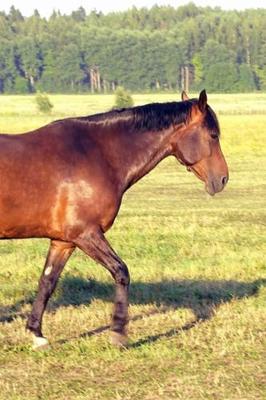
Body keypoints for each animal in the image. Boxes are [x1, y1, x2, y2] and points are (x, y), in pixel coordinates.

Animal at [0, 90, 229, 346]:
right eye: (213, 135)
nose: (222, 179)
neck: (97, 154)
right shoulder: (86, 234)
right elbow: (121, 272)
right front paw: (118, 332)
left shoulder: (63, 242)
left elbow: (47, 282)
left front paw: (36, 334)